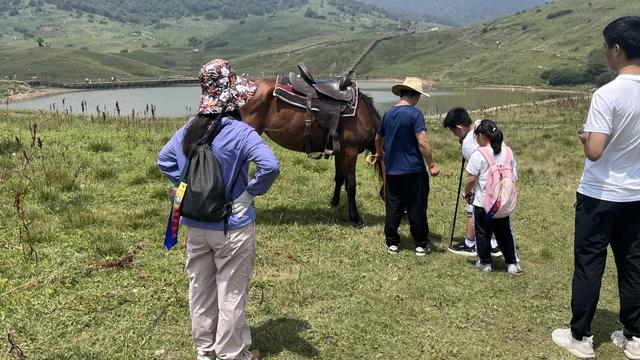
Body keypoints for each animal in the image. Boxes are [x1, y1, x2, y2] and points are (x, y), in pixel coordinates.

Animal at [239, 79, 380, 228]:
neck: (364, 115)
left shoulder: (340, 152)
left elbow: (339, 178)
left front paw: (334, 206)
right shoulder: (350, 151)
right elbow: (351, 185)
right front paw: (356, 218)